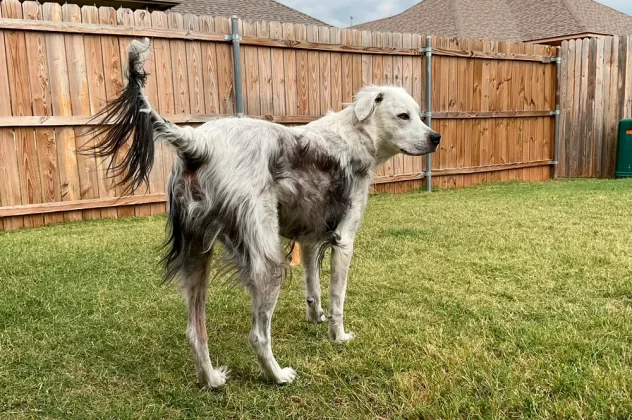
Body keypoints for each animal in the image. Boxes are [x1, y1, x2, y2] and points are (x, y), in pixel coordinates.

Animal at [89, 38, 442, 388]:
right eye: (403, 116)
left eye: (418, 115)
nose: (436, 138)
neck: (355, 135)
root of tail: (199, 143)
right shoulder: (344, 241)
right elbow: (337, 298)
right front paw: (338, 336)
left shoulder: (308, 242)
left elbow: (313, 289)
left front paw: (315, 318)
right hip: (268, 265)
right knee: (258, 335)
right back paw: (277, 375)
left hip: (196, 258)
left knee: (194, 331)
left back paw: (212, 379)